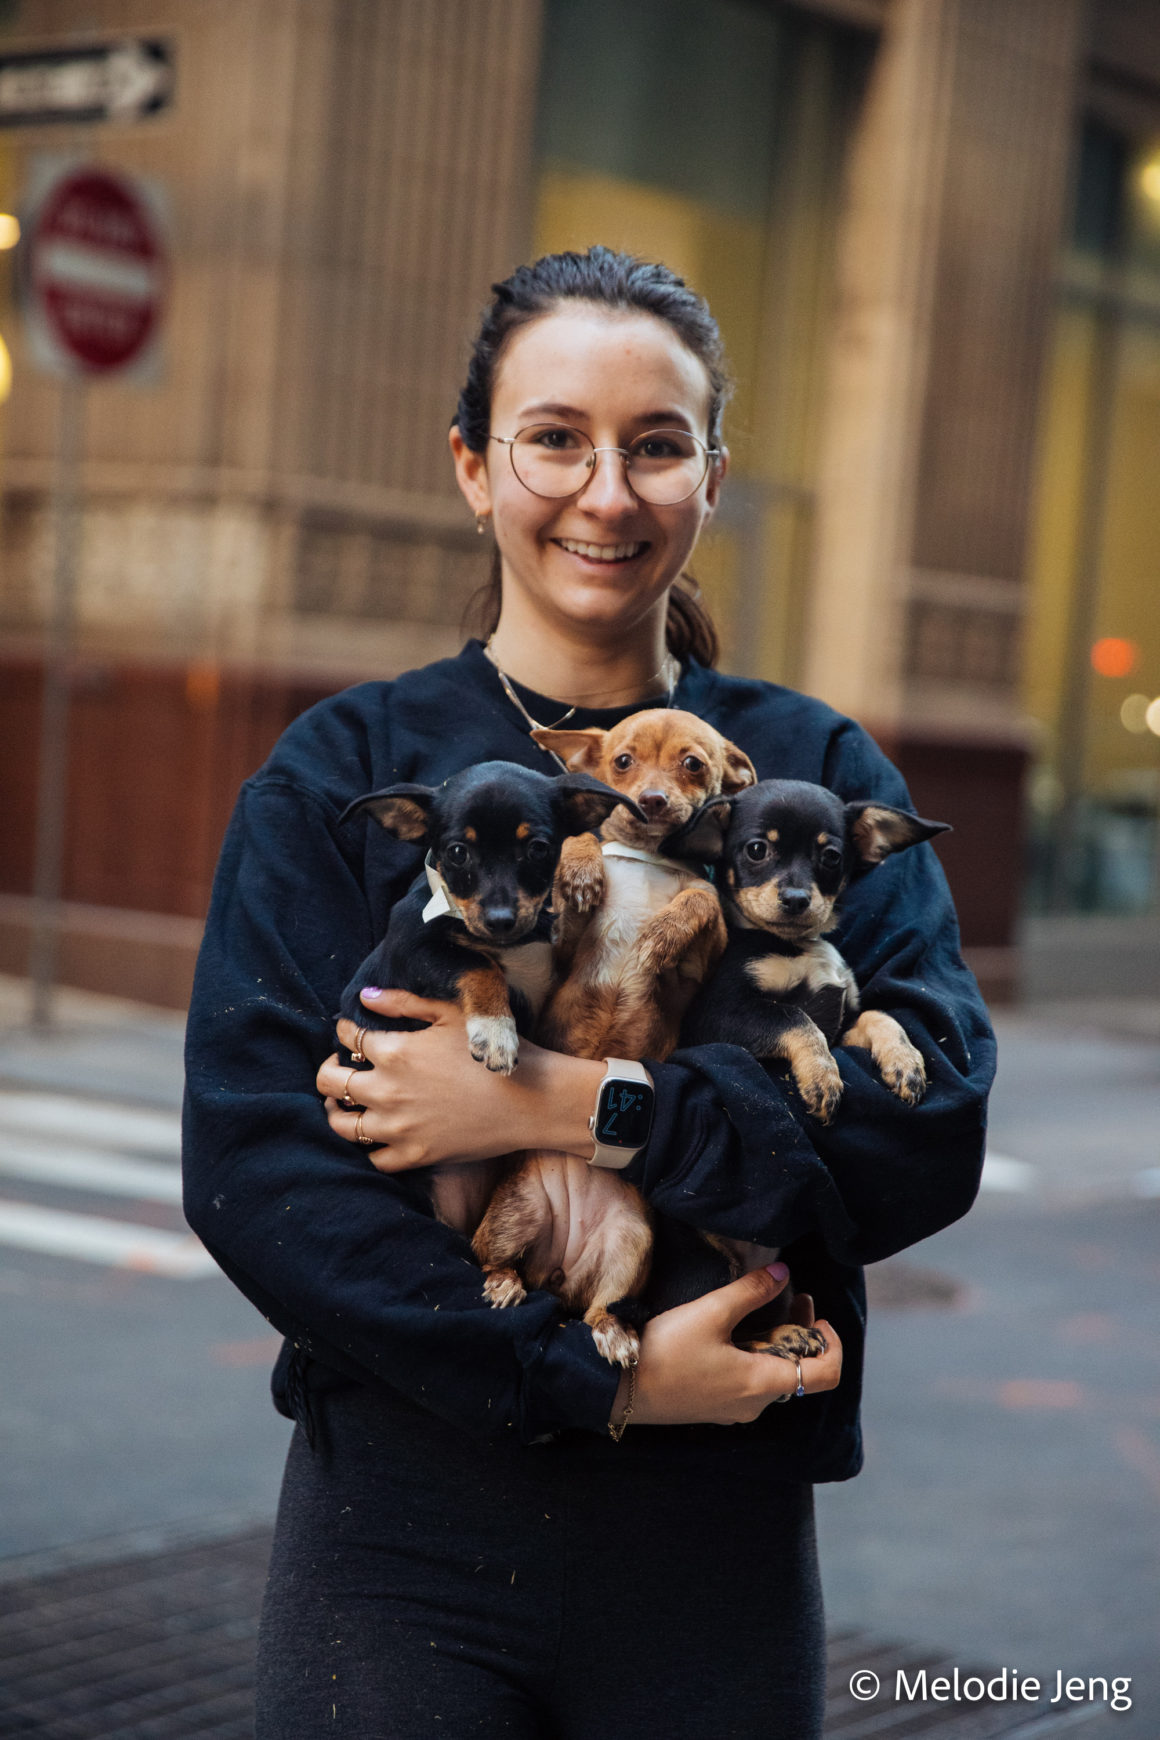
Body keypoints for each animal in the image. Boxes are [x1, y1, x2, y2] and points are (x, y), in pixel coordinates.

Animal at [335, 765, 643, 1238]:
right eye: (458, 852)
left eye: (538, 849)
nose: (500, 921)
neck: (514, 944)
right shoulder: (413, 949)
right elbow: (479, 966)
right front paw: (496, 1033)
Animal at [466, 706, 758, 1357]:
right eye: (622, 762)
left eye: (692, 764)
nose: (651, 799)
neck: (647, 862)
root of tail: (558, 1275)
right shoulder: (562, 942)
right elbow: (580, 848)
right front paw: (580, 867)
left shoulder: (700, 964)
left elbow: (700, 899)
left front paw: (662, 932)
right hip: (515, 1212)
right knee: (489, 1257)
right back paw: (504, 1284)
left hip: (631, 1241)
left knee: (603, 1305)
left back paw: (614, 1333)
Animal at [667, 779, 946, 1127]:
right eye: (756, 850)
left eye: (831, 857)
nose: (796, 899)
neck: (796, 944)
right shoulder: (718, 1016)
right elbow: (795, 1018)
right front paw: (822, 1076)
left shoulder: (840, 1025)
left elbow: (879, 1015)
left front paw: (905, 1061)